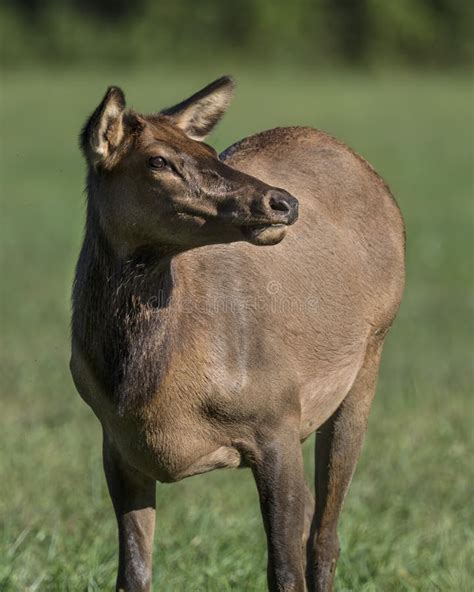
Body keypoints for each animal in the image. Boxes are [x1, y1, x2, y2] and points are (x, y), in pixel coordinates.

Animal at [69, 76, 404, 588]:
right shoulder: (118, 446)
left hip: (368, 356)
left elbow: (285, 572)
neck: (146, 395)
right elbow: (133, 573)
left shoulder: (278, 417)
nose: (283, 201)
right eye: (157, 160)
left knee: (324, 538)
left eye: (208, 150)